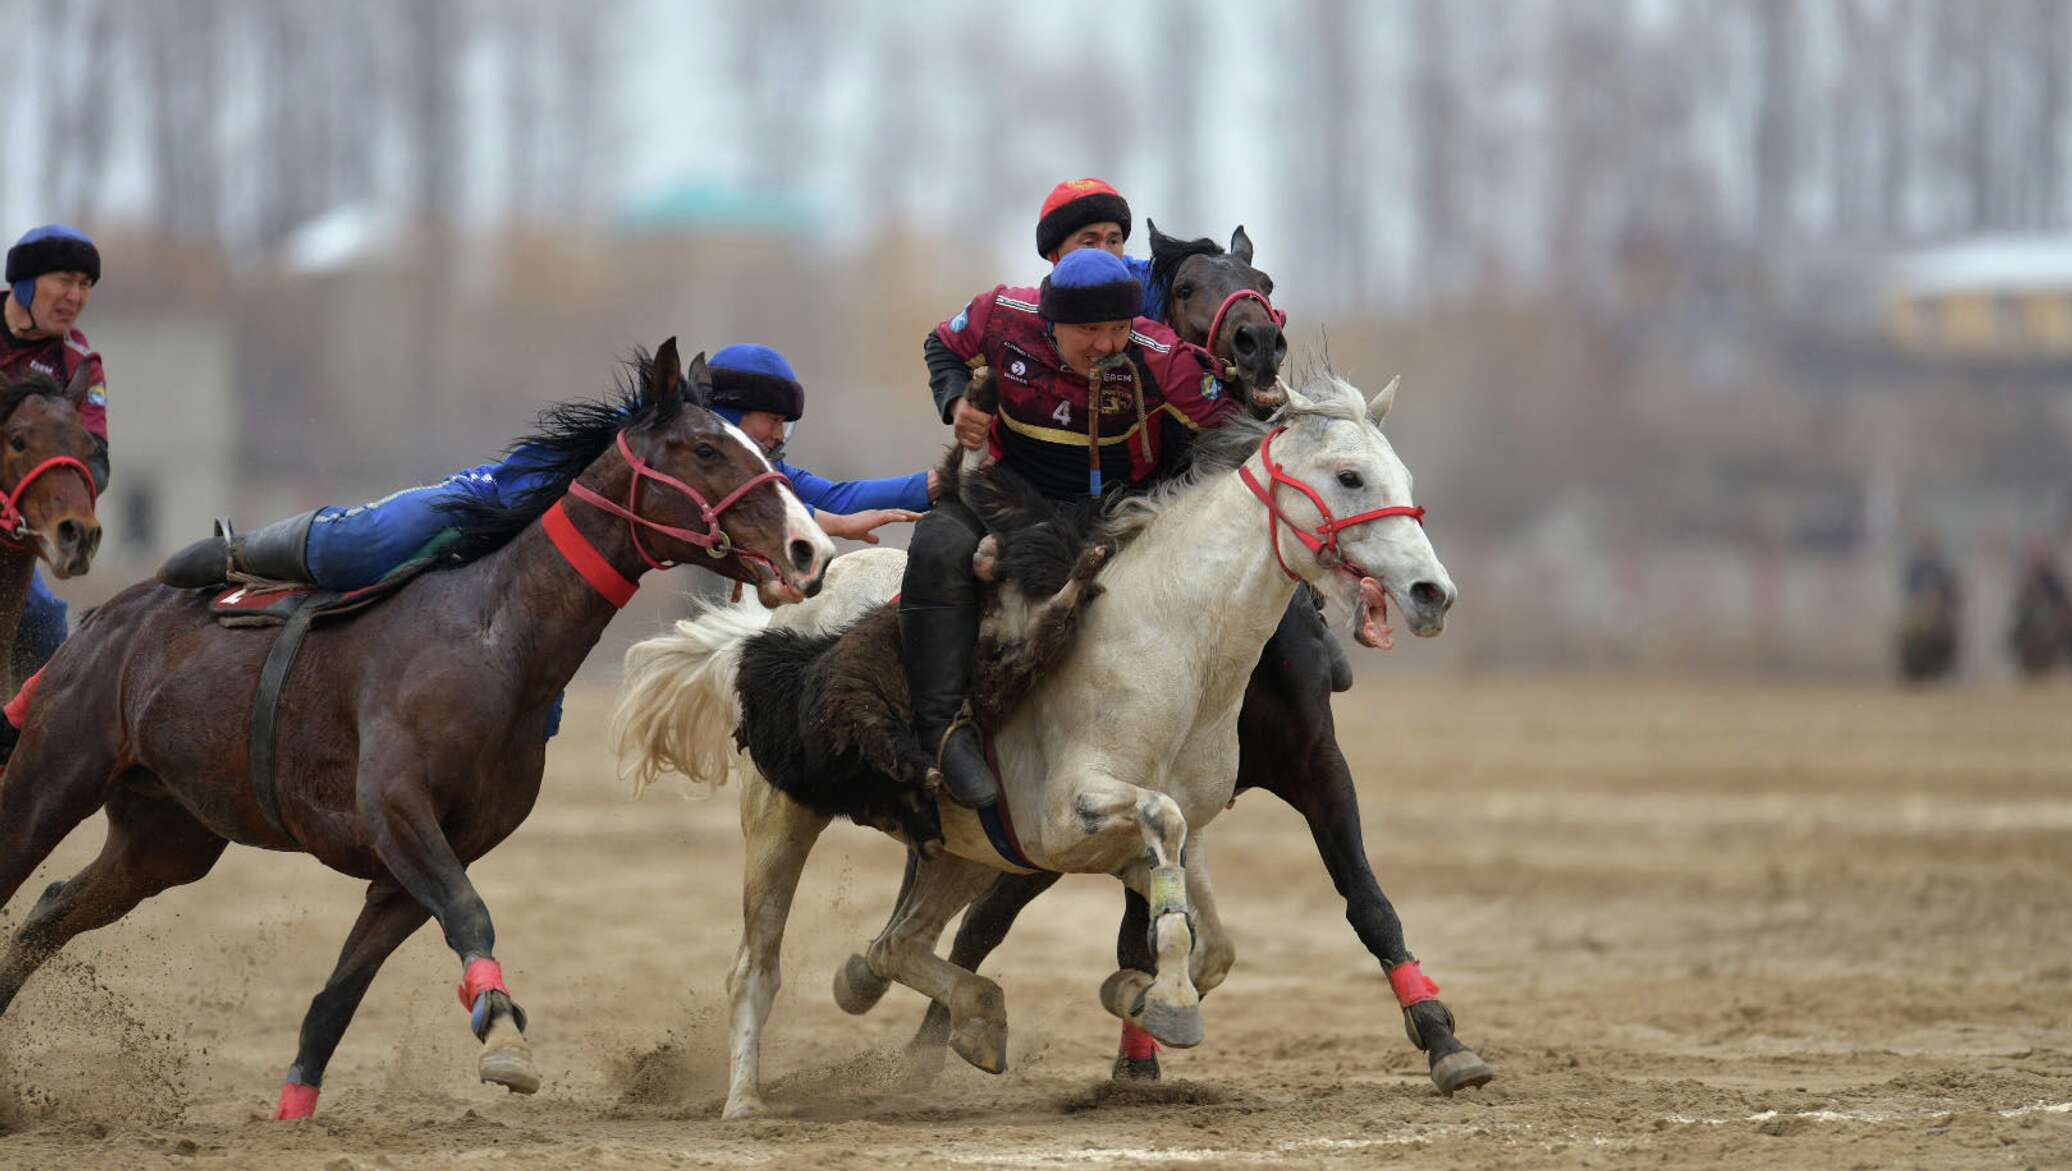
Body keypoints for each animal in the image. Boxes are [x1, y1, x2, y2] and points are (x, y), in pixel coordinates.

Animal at [0, 337, 832, 1110]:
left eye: (765, 449)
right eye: (706, 448)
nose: (810, 549)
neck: (492, 636)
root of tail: (105, 620)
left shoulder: (428, 855)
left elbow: (341, 992)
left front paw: (298, 1104)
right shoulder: (396, 810)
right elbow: (469, 912)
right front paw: (502, 1035)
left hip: (165, 836)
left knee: (52, 908)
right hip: (50, 779)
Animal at [613, 368, 1458, 1119]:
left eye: (1401, 474)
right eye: (1349, 475)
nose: (1432, 593)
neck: (1170, 642)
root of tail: (770, 622)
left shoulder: (1162, 833)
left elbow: (1205, 934)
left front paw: (1142, 996)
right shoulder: (1067, 815)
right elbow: (1161, 842)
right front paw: (1162, 1002)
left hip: (955, 848)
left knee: (896, 944)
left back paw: (975, 1017)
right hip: (782, 818)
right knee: (757, 967)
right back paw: (746, 1101)